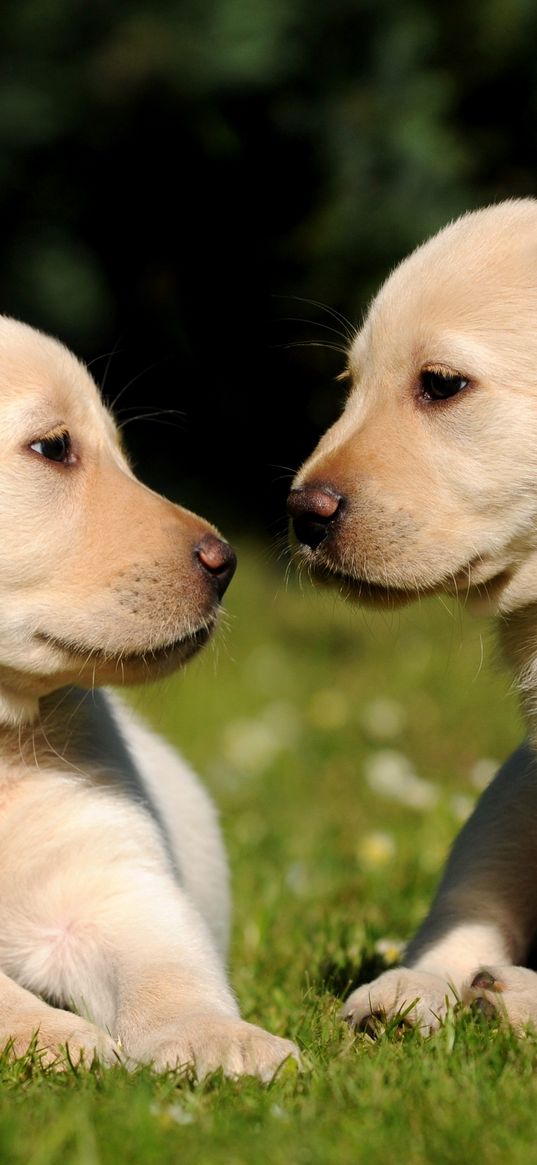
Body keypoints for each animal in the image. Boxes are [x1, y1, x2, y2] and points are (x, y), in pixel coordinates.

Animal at [0, 314, 297, 1076]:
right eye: (53, 447)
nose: (226, 563)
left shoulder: (112, 882)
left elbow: (166, 965)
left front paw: (221, 1039)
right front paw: (52, 1034)